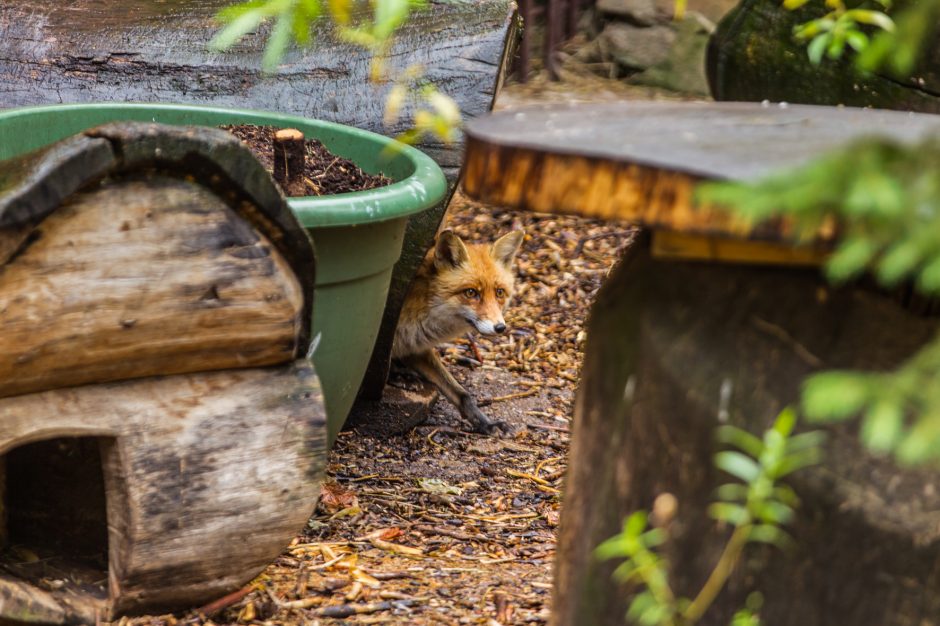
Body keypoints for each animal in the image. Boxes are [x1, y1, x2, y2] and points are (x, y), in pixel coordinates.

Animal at [388, 228, 520, 434]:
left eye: (499, 292)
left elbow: (462, 395)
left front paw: (485, 423)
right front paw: (397, 375)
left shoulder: (416, 347)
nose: (500, 327)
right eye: (471, 292)